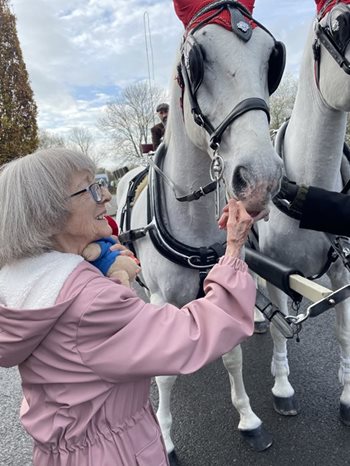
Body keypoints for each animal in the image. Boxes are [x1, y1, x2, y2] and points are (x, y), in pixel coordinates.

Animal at [117, 0, 284, 458]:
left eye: (271, 58)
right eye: (196, 60)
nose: (262, 178)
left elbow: (232, 355)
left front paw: (248, 418)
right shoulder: (162, 297)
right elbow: (165, 375)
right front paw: (164, 438)